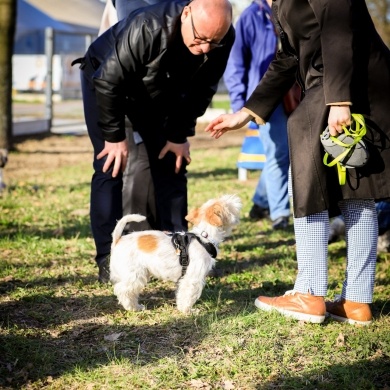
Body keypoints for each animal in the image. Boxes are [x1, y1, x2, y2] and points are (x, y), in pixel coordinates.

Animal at [109, 195, 241, 314]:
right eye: (227, 204)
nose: (237, 200)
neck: (204, 236)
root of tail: (118, 239)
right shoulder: (193, 279)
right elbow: (189, 295)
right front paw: (188, 311)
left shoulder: (184, 279)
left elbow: (182, 294)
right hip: (135, 275)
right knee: (122, 290)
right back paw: (133, 307)